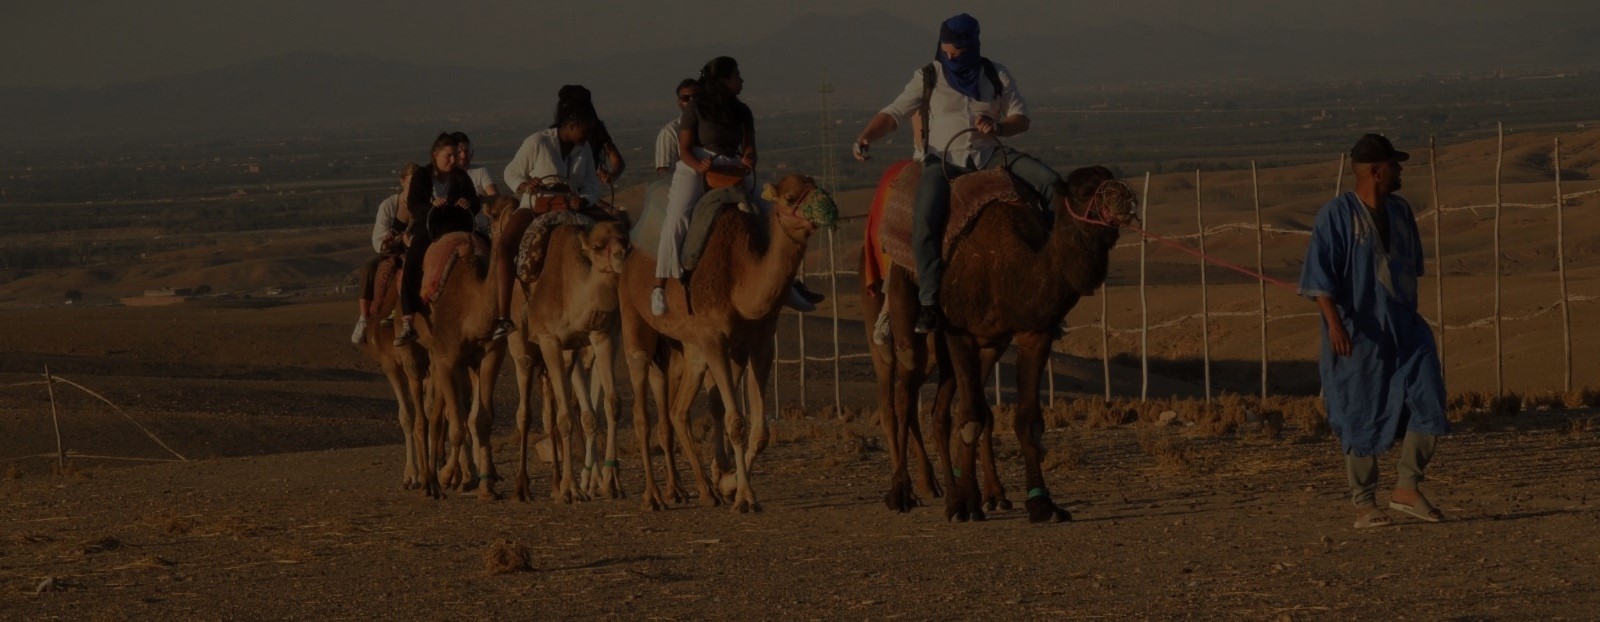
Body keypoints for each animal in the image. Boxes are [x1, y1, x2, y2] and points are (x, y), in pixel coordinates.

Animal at [409, 196, 515, 495]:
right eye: (494, 212)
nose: (513, 224)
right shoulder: (446, 358)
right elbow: (455, 424)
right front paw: (446, 475)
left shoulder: (490, 356)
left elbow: (481, 420)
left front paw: (486, 487)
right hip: (421, 351)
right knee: (429, 415)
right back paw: (428, 481)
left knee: (448, 412)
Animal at [512, 217, 636, 505]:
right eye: (598, 246)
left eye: (624, 240)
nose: (621, 257)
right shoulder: (550, 340)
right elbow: (566, 416)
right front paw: (571, 489)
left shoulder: (601, 335)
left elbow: (612, 403)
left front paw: (611, 484)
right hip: (521, 346)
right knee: (525, 411)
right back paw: (523, 487)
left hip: (565, 357)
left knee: (552, 408)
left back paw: (556, 484)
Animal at [617, 173, 838, 508]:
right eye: (790, 198)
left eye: (816, 186)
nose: (828, 208)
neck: (739, 282)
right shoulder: (715, 340)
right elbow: (736, 422)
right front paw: (745, 496)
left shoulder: (758, 343)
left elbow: (757, 429)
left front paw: (727, 481)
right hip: (636, 322)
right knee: (642, 410)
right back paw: (654, 497)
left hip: (689, 347)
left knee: (678, 411)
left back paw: (701, 490)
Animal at [889, 163, 1139, 518]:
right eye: (1084, 190)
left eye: (1110, 177)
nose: (1125, 197)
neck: (1006, 269)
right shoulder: (959, 332)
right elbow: (971, 418)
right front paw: (968, 505)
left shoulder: (1033, 333)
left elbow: (1025, 420)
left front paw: (1041, 502)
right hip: (907, 300)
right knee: (906, 395)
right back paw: (903, 492)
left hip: (982, 347)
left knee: (942, 411)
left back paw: (959, 494)